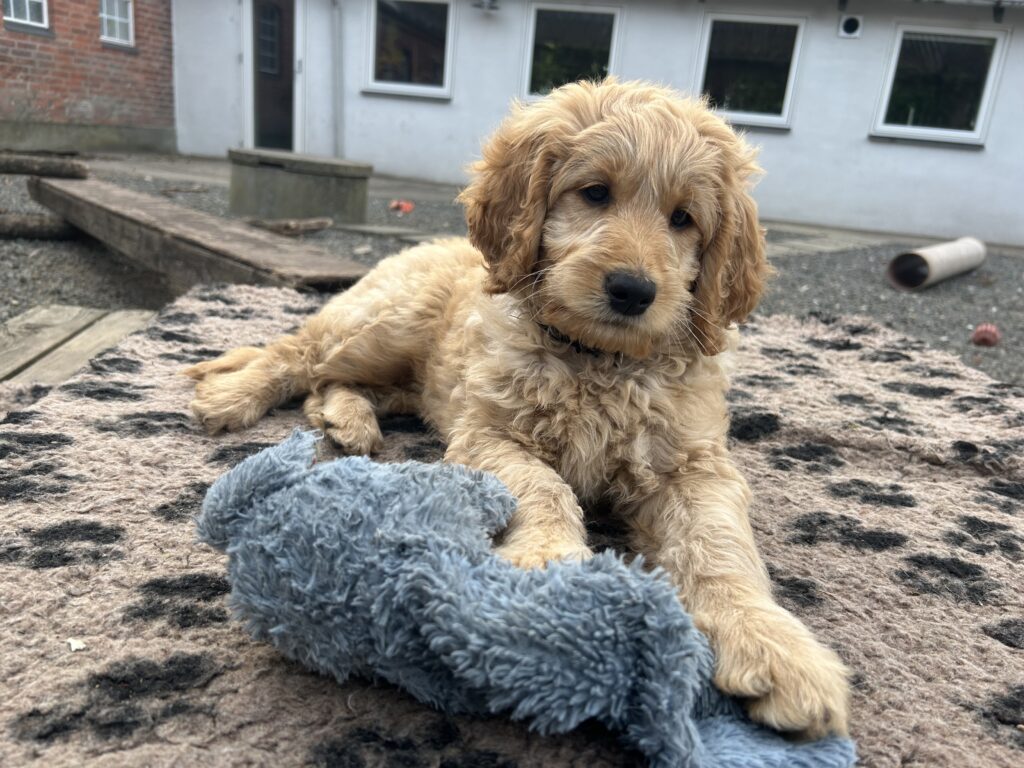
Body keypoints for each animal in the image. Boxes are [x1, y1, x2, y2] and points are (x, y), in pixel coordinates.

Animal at [186, 79, 851, 738]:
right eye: (595, 192)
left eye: (683, 219)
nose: (633, 290)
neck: (598, 360)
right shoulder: (489, 432)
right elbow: (543, 486)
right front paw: (549, 568)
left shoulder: (693, 462)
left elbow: (718, 541)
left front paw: (771, 642)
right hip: (386, 322)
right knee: (300, 355)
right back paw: (233, 396)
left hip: (410, 376)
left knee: (337, 384)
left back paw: (348, 421)